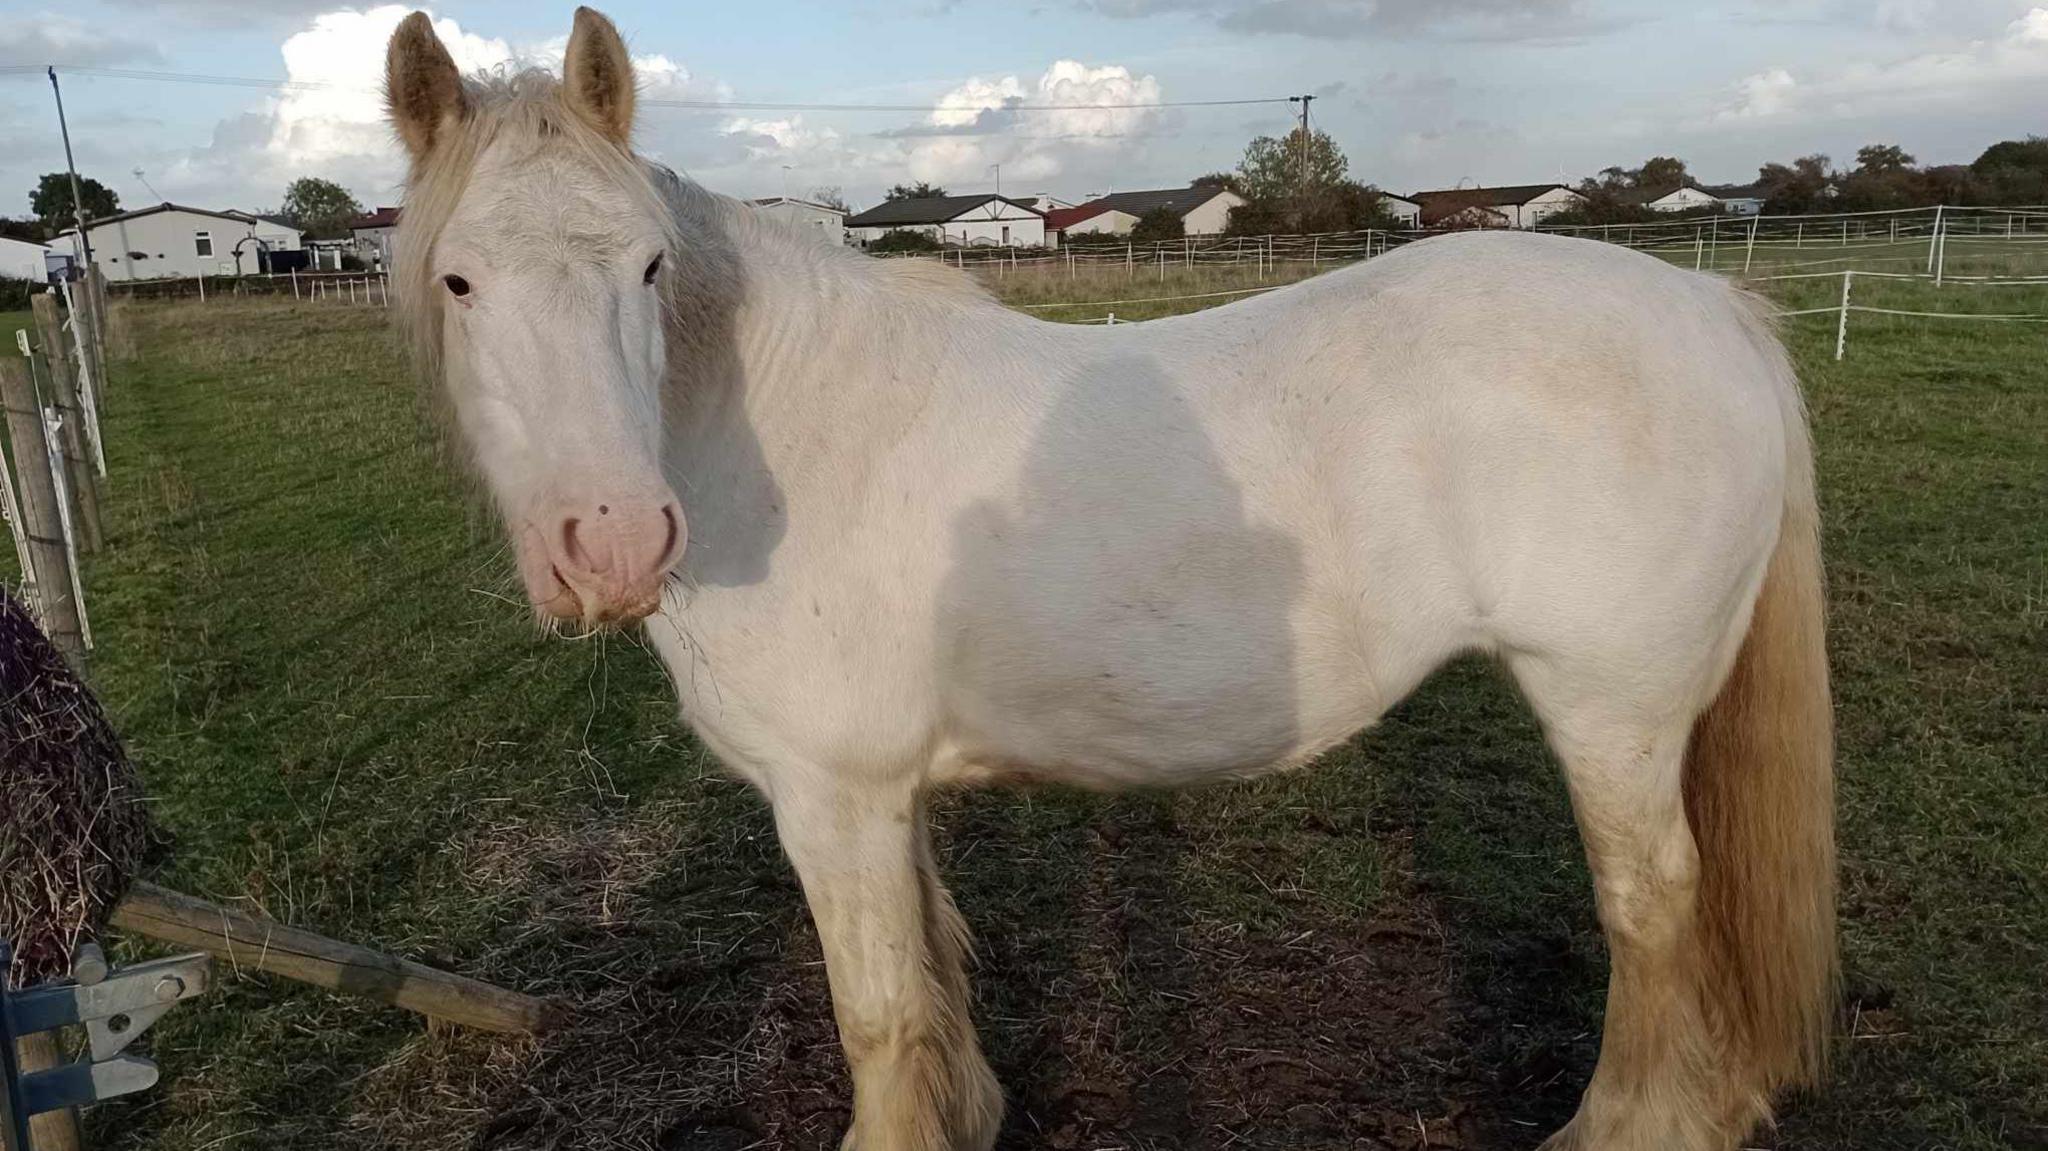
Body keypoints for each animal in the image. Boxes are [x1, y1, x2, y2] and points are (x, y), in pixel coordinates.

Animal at [385, 11, 1843, 1146]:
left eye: (649, 267)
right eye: (459, 280)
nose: (611, 543)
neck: (782, 433)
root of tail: (1708, 309)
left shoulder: (831, 800)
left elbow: (879, 1015)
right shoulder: (888, 801)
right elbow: (934, 972)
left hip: (1611, 707)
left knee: (1652, 911)